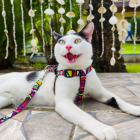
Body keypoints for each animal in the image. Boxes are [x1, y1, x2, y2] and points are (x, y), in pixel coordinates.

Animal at [0, 22, 140, 139]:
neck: (79, 72)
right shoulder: (64, 103)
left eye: (77, 40)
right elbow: (84, 115)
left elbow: (118, 99)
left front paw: (134, 108)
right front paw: (103, 129)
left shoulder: (100, 92)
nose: (67, 46)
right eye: (61, 42)